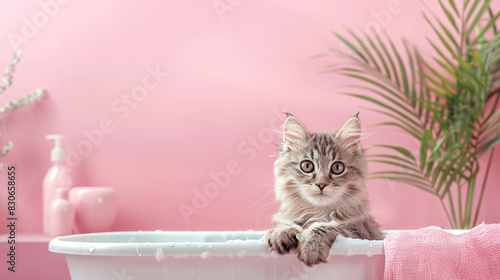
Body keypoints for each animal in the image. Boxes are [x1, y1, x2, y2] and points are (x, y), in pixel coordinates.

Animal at [266, 112, 382, 266]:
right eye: (307, 166)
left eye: (337, 168)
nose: (321, 184)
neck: (318, 212)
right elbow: (286, 223)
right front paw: (279, 233)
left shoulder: (361, 232)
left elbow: (325, 227)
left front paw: (311, 248)